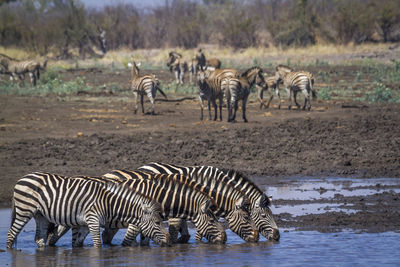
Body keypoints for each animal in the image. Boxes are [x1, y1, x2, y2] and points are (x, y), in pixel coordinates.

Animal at [6, 173, 170, 250]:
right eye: (158, 222)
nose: (169, 240)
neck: (108, 202)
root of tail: (22, 178)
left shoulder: (85, 224)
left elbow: (78, 244)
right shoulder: (93, 220)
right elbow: (98, 244)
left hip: (41, 216)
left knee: (39, 238)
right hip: (24, 210)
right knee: (11, 234)